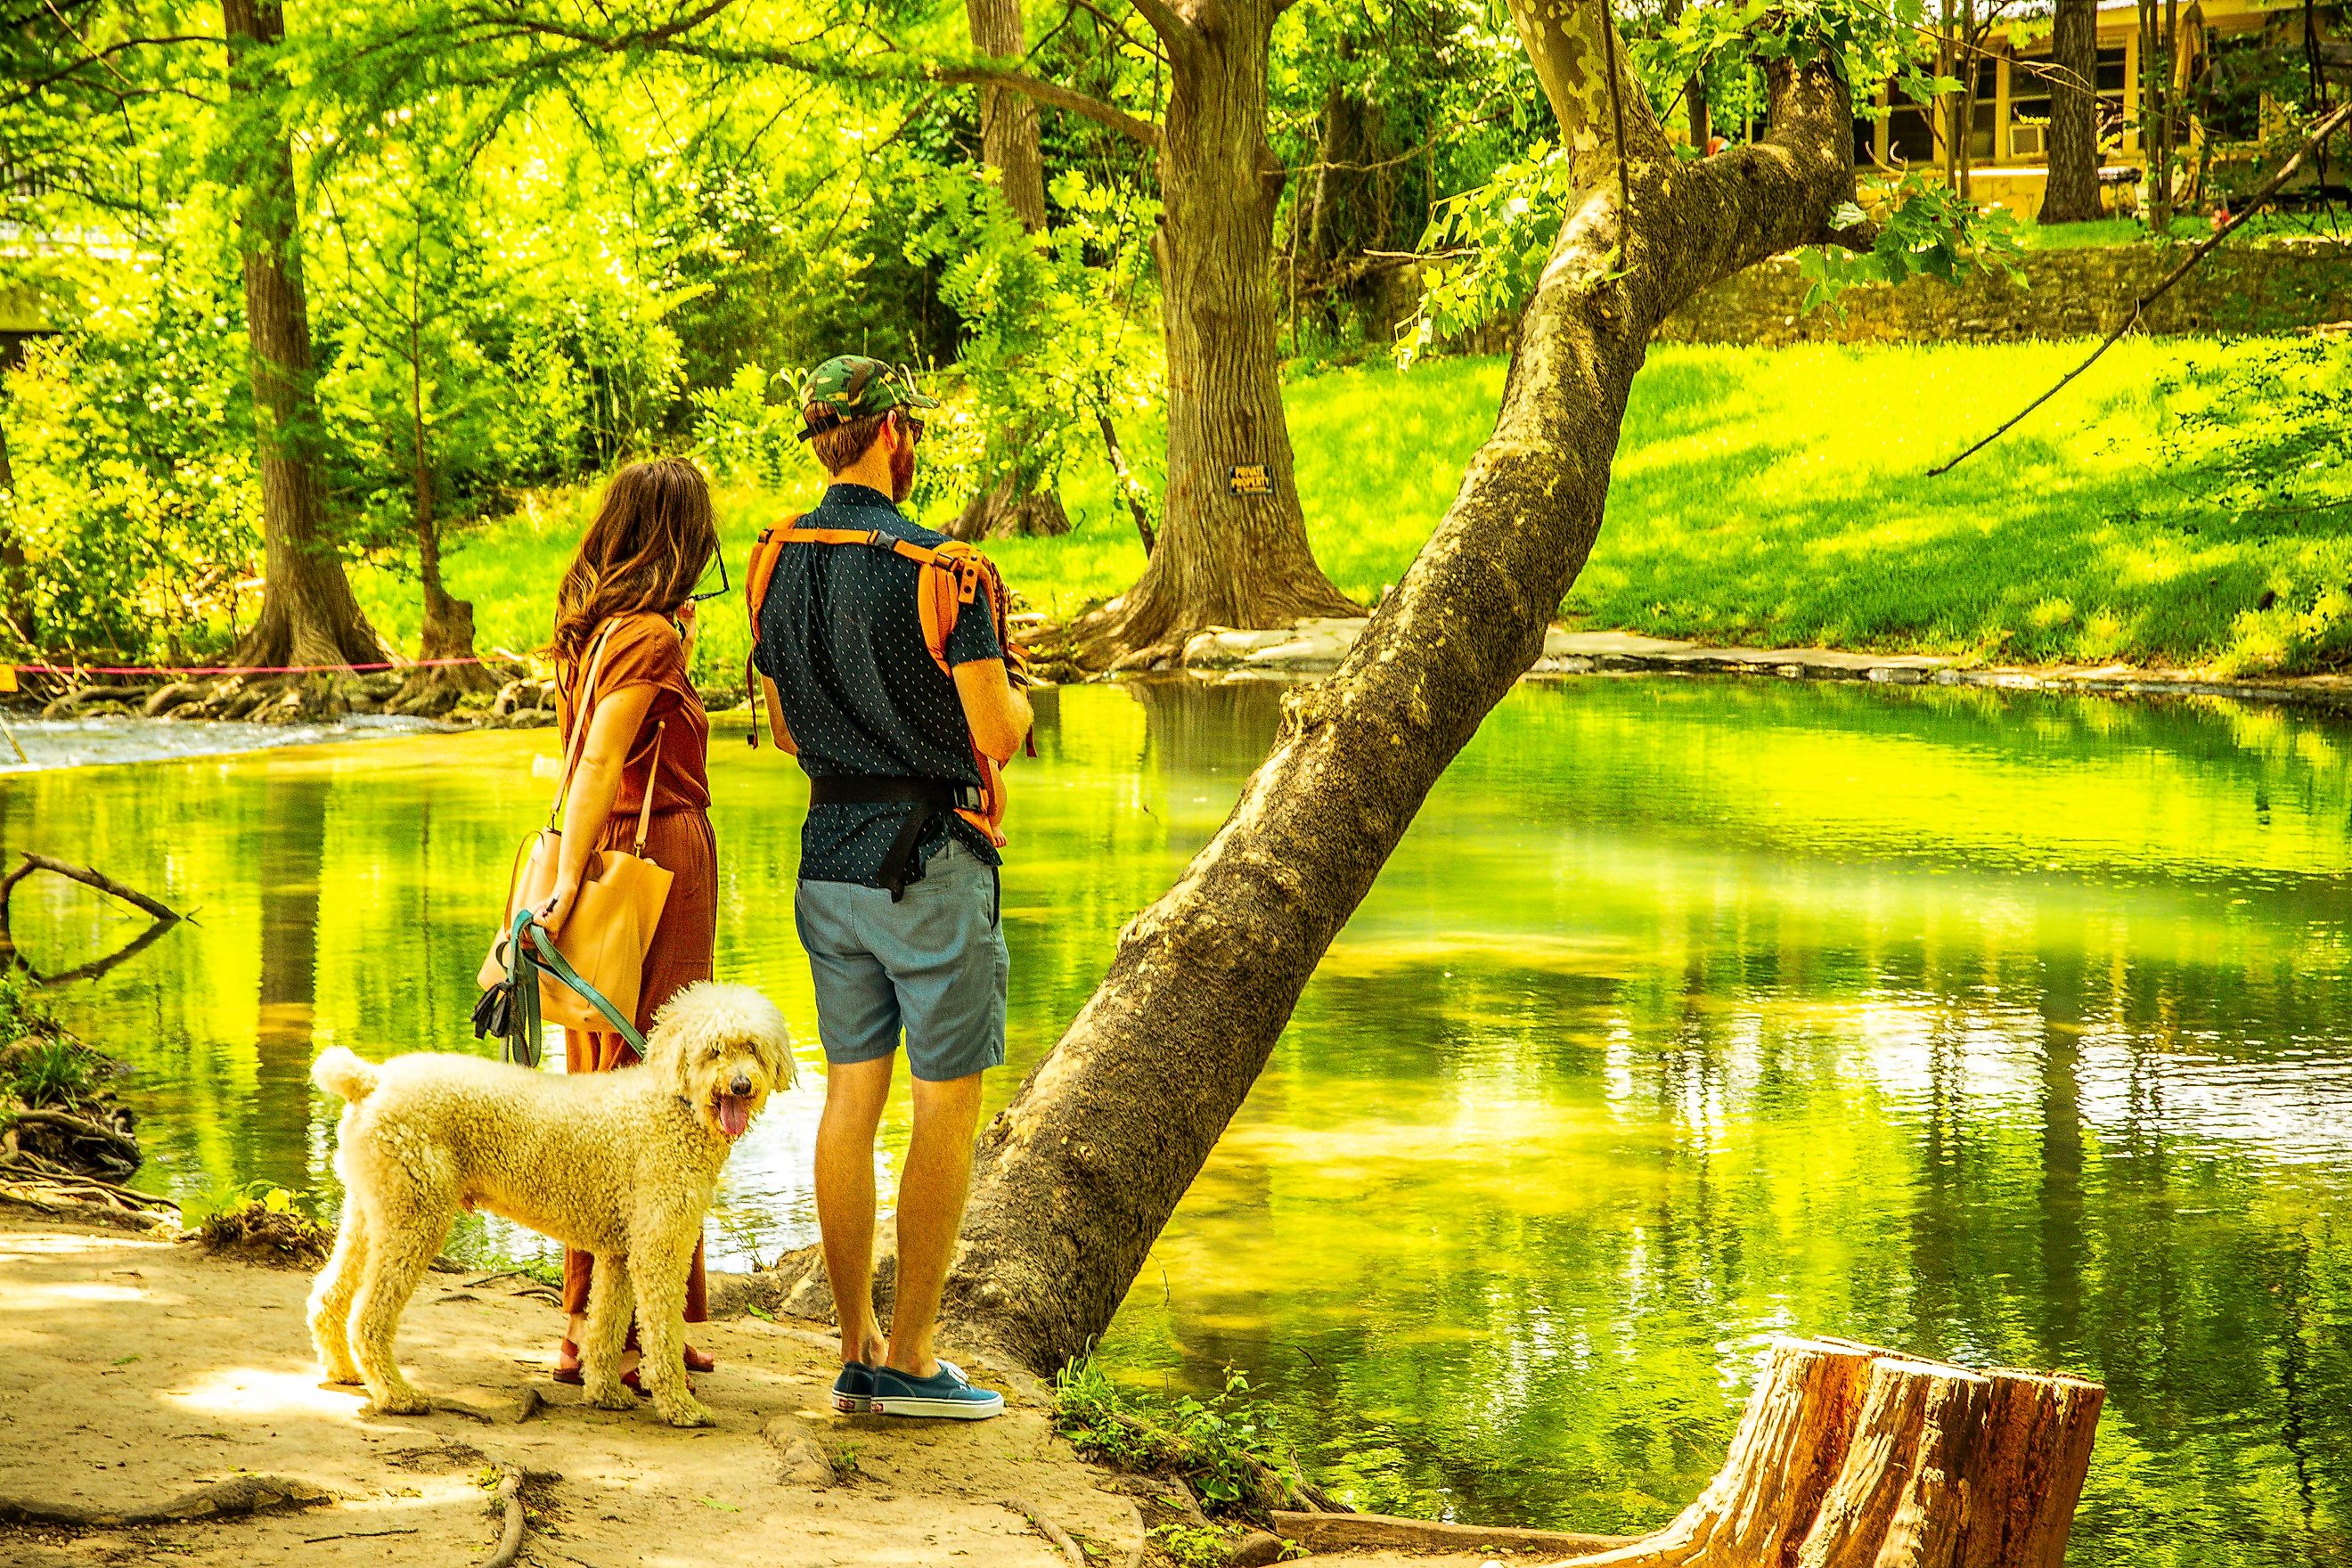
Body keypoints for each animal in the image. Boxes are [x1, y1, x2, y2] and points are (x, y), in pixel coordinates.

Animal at [307, 987, 790, 1429]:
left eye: (752, 1047)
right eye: (714, 1050)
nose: (741, 1085)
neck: (672, 1105)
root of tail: (370, 1080)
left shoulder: (620, 1255)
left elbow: (606, 1326)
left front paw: (606, 1392)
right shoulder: (659, 1251)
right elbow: (663, 1333)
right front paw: (680, 1407)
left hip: (371, 1213)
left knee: (329, 1295)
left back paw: (346, 1372)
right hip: (415, 1219)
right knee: (368, 1316)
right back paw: (397, 1395)